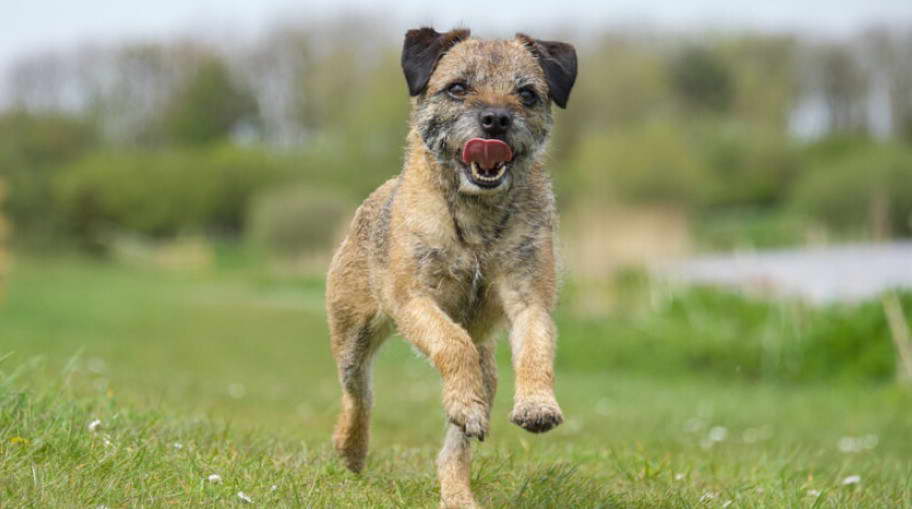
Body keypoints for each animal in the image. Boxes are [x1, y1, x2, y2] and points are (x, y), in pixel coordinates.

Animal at [328, 27, 576, 508]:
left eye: (527, 94)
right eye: (458, 88)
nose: (496, 120)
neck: (476, 213)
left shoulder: (529, 297)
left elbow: (536, 345)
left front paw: (537, 404)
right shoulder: (414, 300)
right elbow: (451, 342)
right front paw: (464, 399)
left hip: (488, 370)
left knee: (455, 446)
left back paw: (457, 490)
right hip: (351, 336)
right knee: (359, 394)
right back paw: (351, 449)